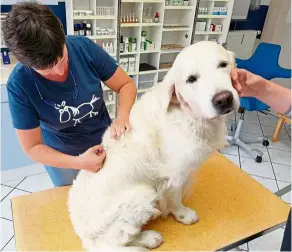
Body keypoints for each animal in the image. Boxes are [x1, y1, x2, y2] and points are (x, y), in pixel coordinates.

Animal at [68, 40, 240, 250]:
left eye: (223, 64)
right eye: (191, 79)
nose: (223, 99)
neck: (187, 113)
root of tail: (84, 237)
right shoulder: (174, 173)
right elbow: (175, 198)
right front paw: (183, 214)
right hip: (143, 194)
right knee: (117, 242)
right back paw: (149, 238)